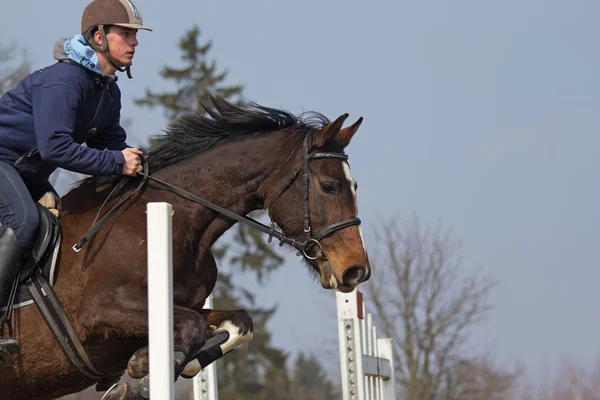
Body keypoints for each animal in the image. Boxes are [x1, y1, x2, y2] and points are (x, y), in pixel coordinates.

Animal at [0, 97, 370, 400]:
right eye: (329, 186)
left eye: (355, 185)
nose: (356, 270)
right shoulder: (101, 309)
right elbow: (192, 327)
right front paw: (143, 372)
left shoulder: (182, 305)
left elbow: (239, 323)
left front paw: (157, 363)